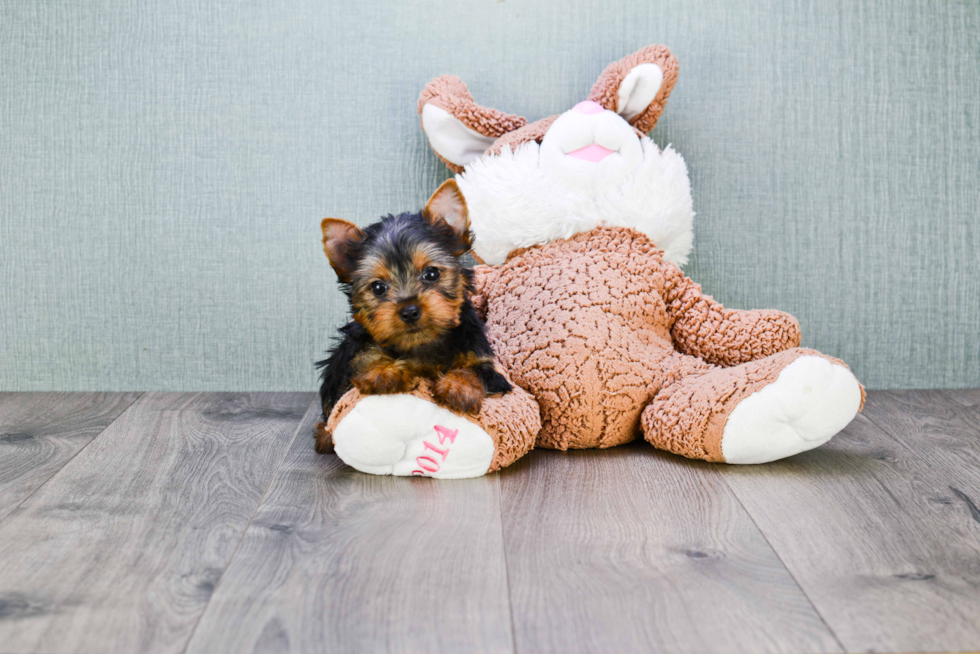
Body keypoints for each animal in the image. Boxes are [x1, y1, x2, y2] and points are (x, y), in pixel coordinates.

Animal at [314, 181, 512, 456]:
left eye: (431, 273)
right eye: (378, 288)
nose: (409, 310)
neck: (421, 345)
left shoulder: (480, 356)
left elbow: (475, 370)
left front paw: (459, 386)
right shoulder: (353, 357)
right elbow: (366, 359)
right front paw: (385, 372)